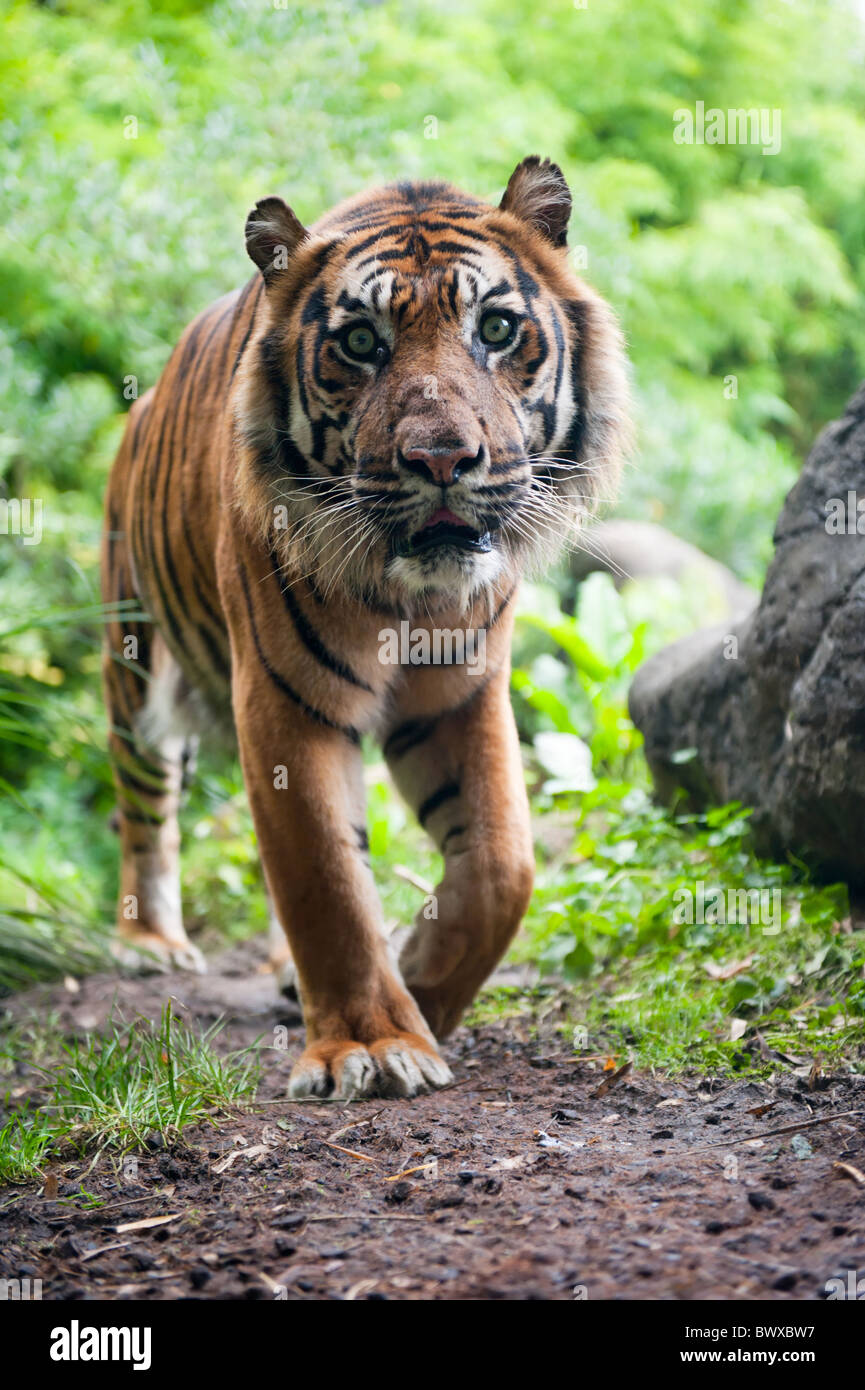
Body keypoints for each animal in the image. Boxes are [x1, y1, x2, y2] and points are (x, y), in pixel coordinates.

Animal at [100, 157, 631, 1095]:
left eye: (497, 329)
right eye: (359, 344)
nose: (442, 459)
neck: (409, 602)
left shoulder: (463, 696)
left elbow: (501, 868)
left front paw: (422, 983)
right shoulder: (285, 705)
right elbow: (324, 880)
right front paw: (373, 1045)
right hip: (134, 666)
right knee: (143, 803)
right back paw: (149, 943)